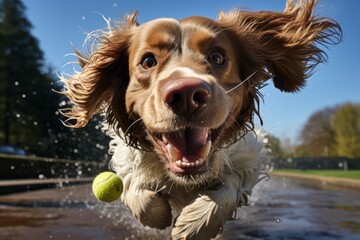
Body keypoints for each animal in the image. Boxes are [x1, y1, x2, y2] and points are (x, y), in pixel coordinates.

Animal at [60, 0, 342, 239]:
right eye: (148, 61)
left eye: (217, 56)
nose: (186, 94)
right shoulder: (127, 156)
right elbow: (134, 184)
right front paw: (157, 214)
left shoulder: (247, 155)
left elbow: (230, 186)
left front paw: (194, 224)